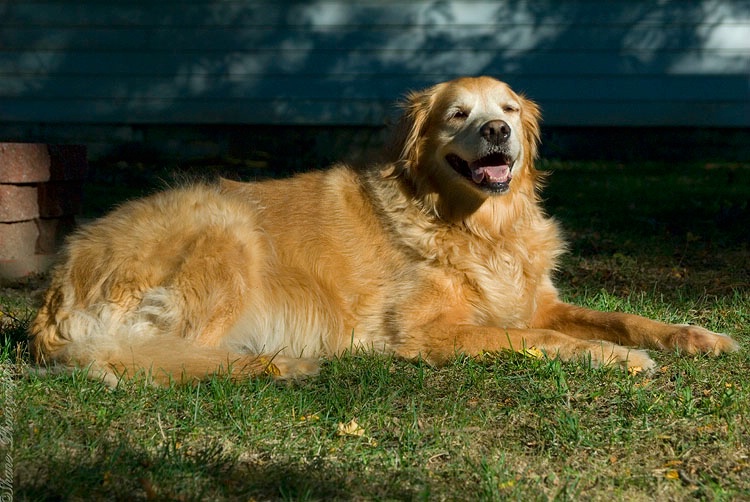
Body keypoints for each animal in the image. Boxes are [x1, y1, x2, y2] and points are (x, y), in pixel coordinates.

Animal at [29, 77, 740, 384]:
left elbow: (620, 316)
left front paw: (695, 336)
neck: (477, 227)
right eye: (458, 113)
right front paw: (612, 358)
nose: (498, 132)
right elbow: (541, 338)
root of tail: (57, 284)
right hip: (224, 228)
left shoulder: (539, 299)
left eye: (509, 109)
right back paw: (280, 365)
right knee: (153, 361)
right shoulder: (434, 330)